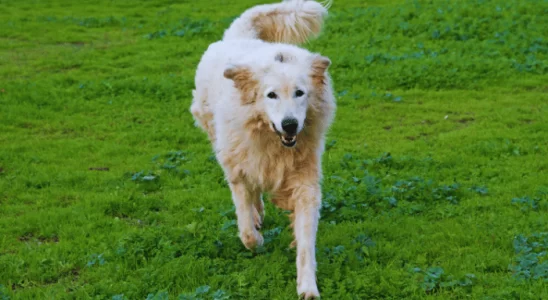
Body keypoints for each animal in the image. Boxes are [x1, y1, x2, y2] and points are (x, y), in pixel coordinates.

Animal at [191, 0, 336, 298]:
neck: (271, 140)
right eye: (271, 95)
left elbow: (306, 240)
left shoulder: (305, 182)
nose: (290, 125)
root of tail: (240, 37)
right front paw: (255, 239)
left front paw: (307, 286)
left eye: (300, 93)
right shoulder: (238, 170)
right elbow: (245, 227)